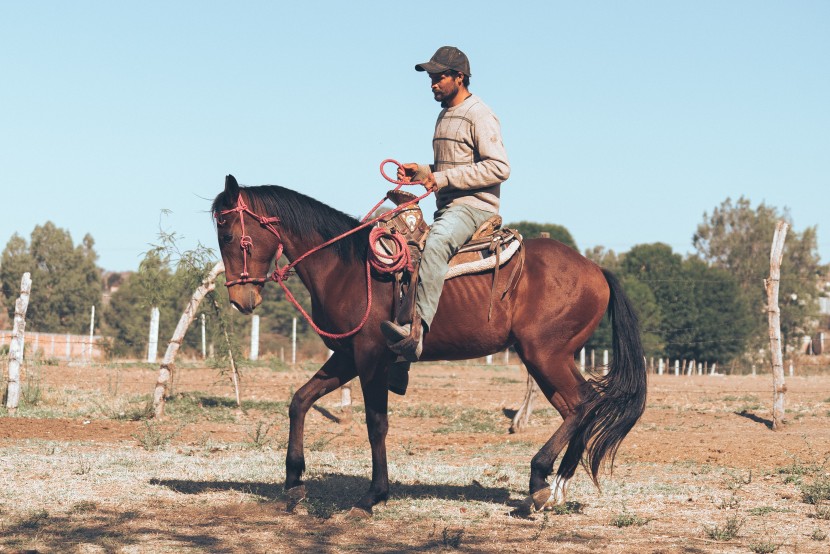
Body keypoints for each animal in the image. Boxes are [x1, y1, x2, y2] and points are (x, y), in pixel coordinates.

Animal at [211, 175, 648, 516]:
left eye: (229, 235)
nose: (241, 299)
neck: (346, 266)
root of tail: (597, 270)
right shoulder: (348, 355)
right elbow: (300, 401)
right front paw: (293, 484)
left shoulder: (371, 355)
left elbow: (376, 423)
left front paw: (372, 496)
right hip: (548, 358)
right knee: (579, 407)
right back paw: (550, 488)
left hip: (544, 355)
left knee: (583, 404)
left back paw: (543, 477)